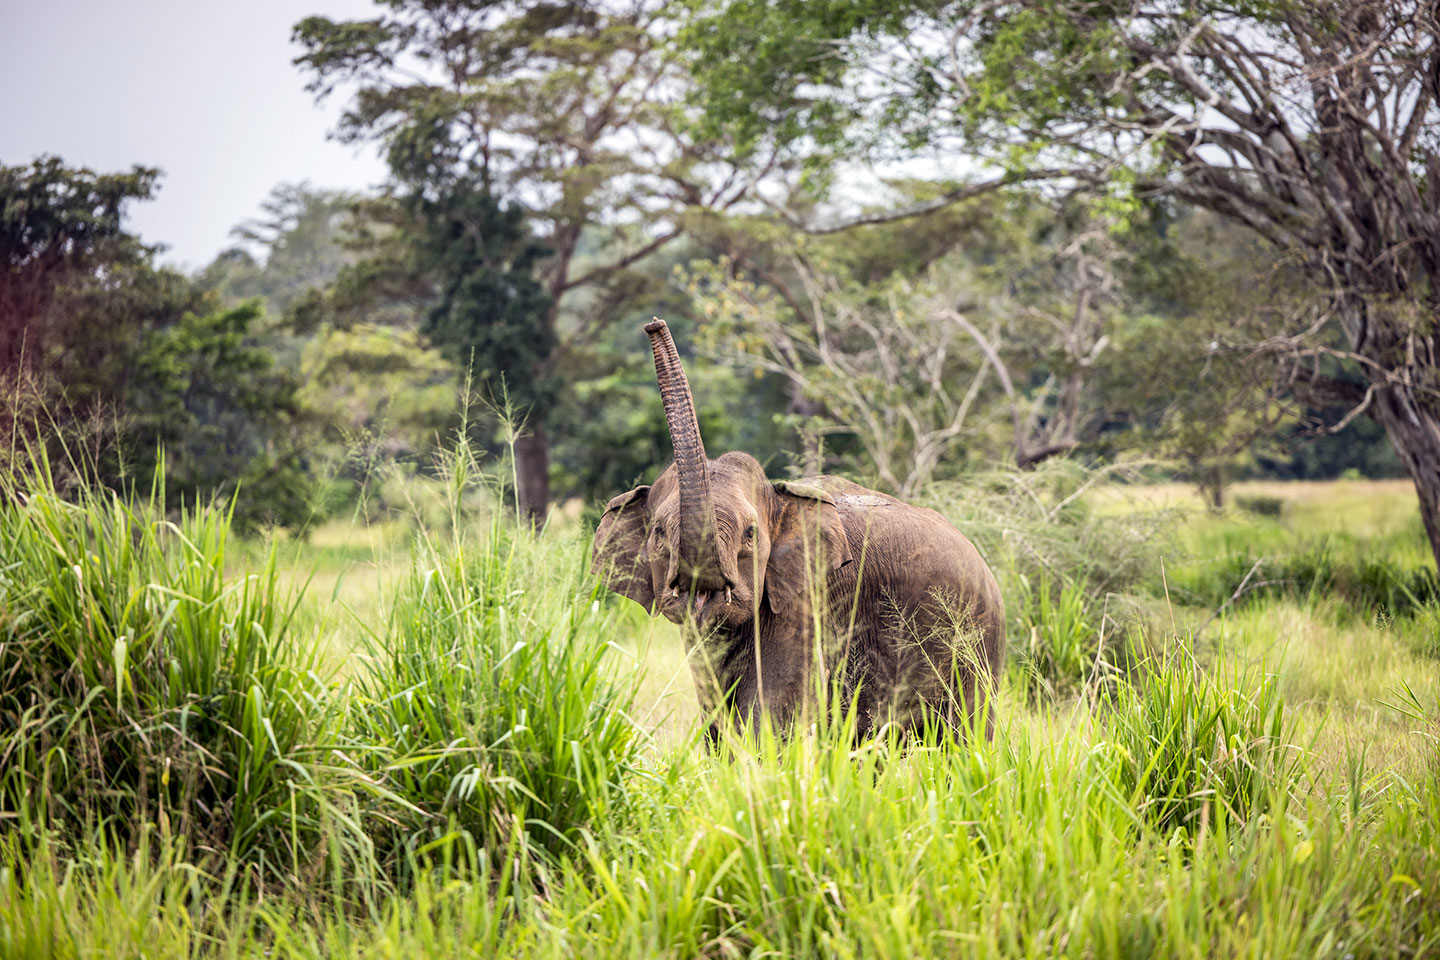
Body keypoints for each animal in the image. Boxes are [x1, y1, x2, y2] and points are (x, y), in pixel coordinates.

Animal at [591, 318, 1005, 739]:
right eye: (658, 534)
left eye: (750, 534)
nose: (653, 324)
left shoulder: (808, 601)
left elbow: (774, 713)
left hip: (977, 643)